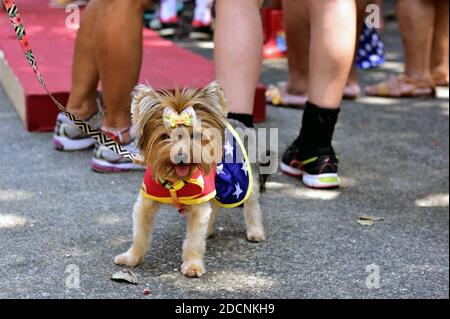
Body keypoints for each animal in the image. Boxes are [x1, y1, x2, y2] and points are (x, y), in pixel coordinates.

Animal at [114, 82, 266, 278]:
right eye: (165, 136)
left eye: (194, 135)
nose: (181, 155)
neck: (174, 179)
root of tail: (236, 122)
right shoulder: (145, 204)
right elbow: (140, 235)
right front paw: (132, 257)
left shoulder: (199, 206)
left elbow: (194, 240)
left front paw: (193, 265)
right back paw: (209, 231)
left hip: (244, 178)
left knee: (252, 205)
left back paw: (255, 231)